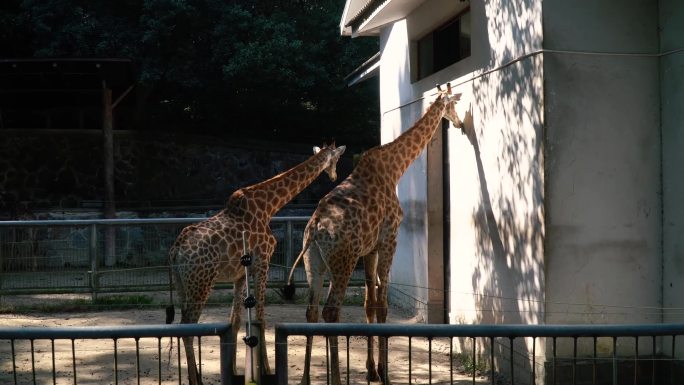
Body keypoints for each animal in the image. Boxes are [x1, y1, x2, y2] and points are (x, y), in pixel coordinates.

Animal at [166, 142, 348, 384]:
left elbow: (234, 320)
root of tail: (175, 250)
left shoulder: (239, 275)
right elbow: (261, 317)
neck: (268, 206)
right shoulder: (263, 264)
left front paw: (235, 370)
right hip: (201, 283)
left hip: (182, 284)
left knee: (183, 326)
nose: (334, 175)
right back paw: (196, 380)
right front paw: (268, 371)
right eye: (336, 159)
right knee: (188, 325)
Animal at [284, 85, 464, 384]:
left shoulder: (369, 249)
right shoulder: (390, 239)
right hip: (343, 262)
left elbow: (370, 304)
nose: (460, 123)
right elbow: (383, 305)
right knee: (331, 311)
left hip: (315, 264)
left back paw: (306, 378)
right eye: (454, 105)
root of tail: (315, 229)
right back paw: (335, 378)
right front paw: (384, 372)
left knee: (311, 310)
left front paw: (371, 370)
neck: (394, 168)